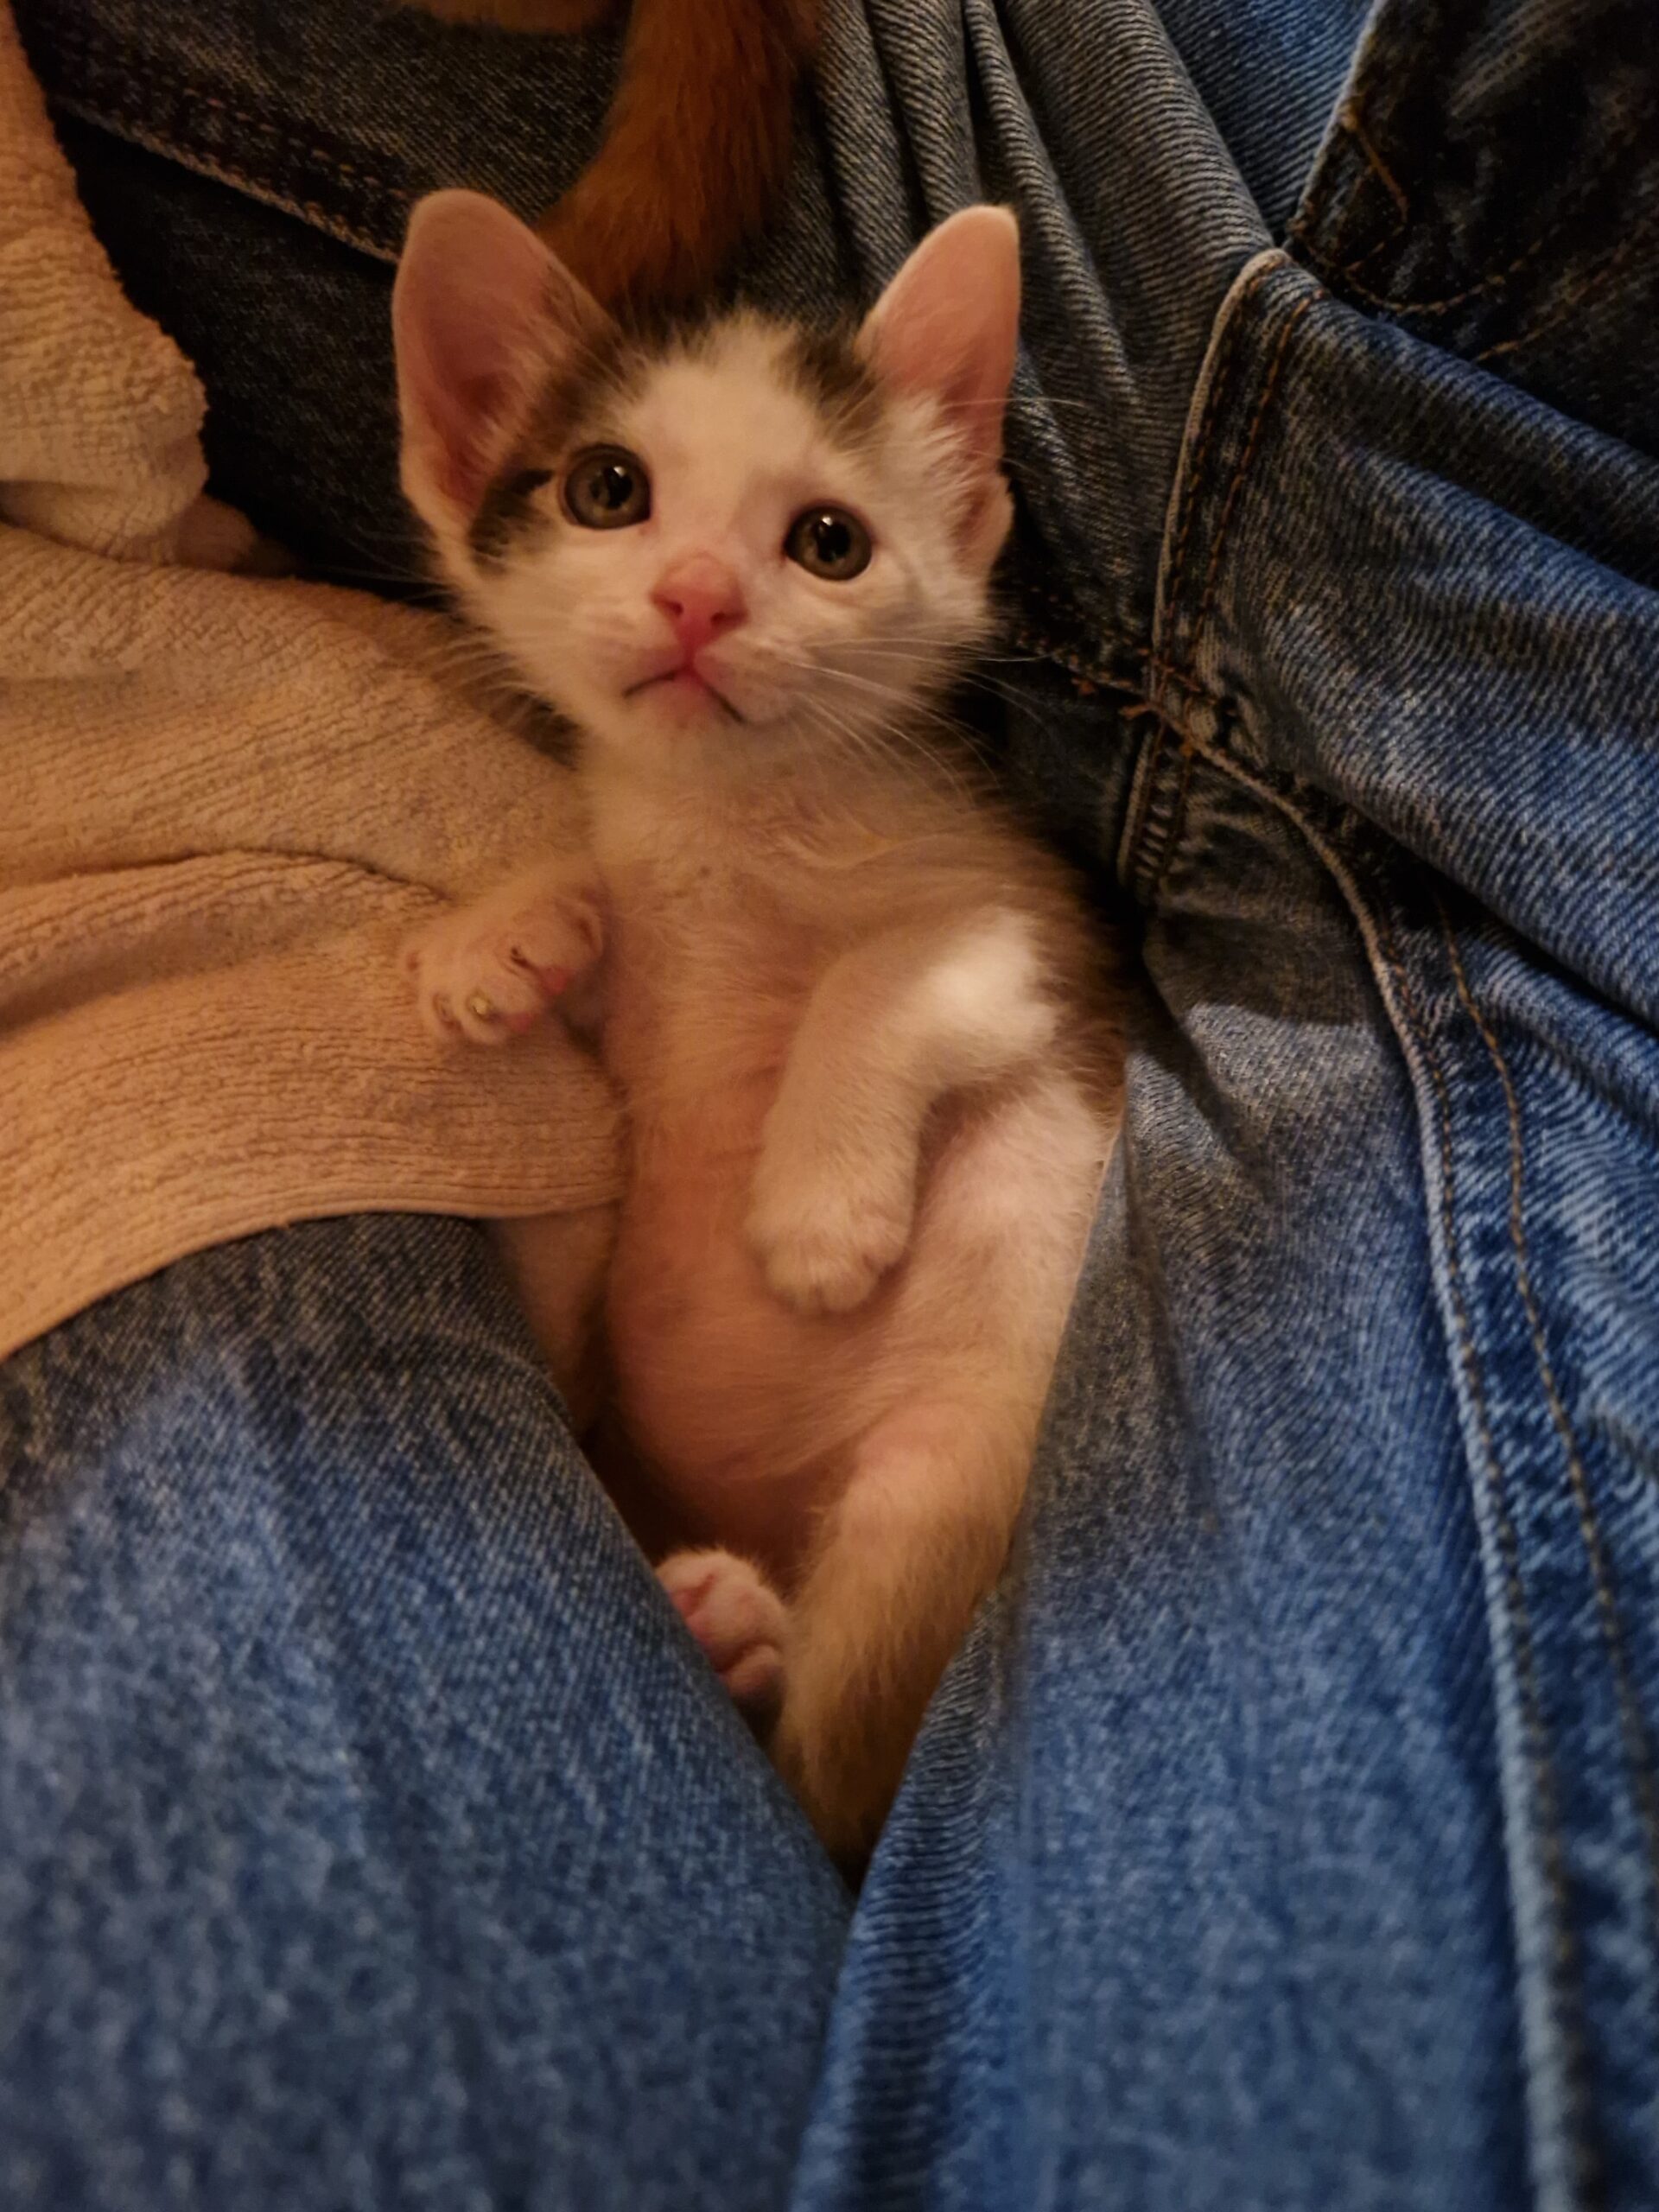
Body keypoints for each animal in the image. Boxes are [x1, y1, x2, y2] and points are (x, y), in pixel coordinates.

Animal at [392, 188, 1120, 1864]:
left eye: (827, 544)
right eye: (608, 491)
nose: (700, 598)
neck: (729, 824)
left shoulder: (1033, 930)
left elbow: (889, 979)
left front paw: (818, 1215)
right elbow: (596, 895)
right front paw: (514, 927)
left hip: (940, 1478)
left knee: (830, 1777)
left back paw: (752, 1646)